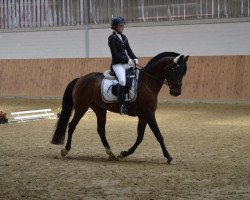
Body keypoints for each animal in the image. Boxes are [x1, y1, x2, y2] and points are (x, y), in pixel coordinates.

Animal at [51, 51, 188, 164]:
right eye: (174, 69)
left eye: (183, 72)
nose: (176, 92)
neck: (147, 82)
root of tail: (80, 78)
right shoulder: (149, 113)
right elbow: (158, 135)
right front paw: (169, 157)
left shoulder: (143, 115)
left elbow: (140, 137)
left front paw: (124, 154)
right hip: (81, 107)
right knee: (72, 125)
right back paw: (65, 150)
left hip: (100, 109)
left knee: (101, 130)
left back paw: (111, 153)